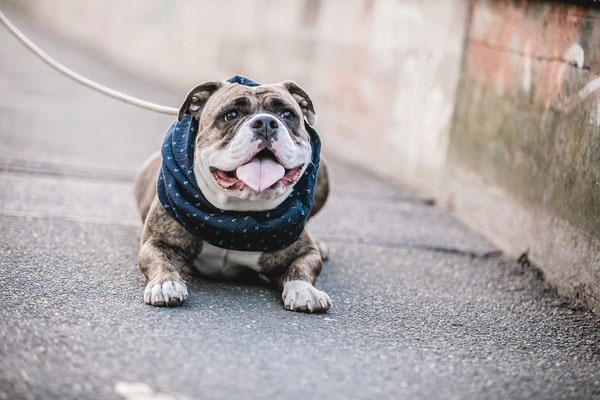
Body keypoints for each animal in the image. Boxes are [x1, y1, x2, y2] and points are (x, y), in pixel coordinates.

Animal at [134, 77, 332, 312]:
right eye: (231, 115)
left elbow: (302, 267)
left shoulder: (305, 251)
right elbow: (158, 260)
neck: (236, 217)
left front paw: (304, 289)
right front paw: (166, 284)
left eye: (287, 115)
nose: (266, 122)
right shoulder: (157, 242)